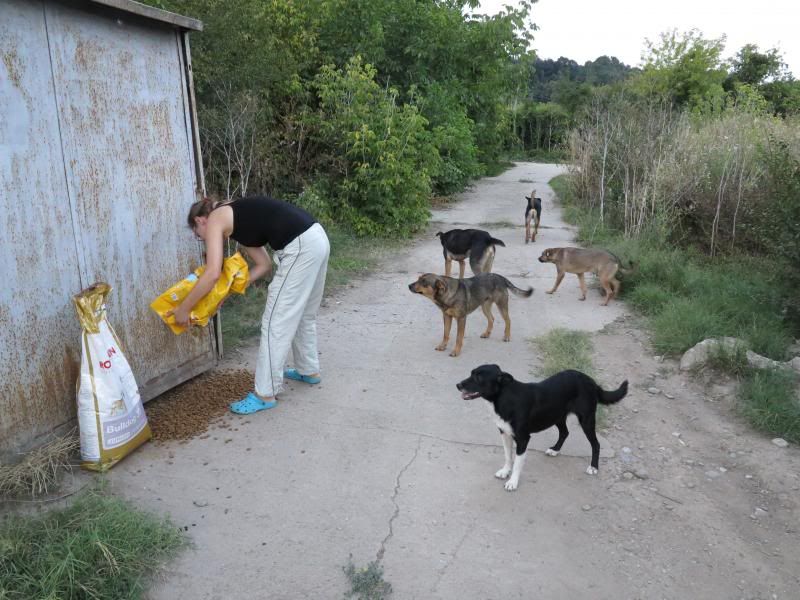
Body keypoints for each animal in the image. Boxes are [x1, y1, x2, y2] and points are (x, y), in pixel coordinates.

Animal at [456, 364, 624, 490]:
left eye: (478, 377)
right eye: (471, 373)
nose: (457, 385)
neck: (504, 397)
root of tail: (591, 381)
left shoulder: (523, 439)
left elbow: (517, 463)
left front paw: (512, 482)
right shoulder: (505, 433)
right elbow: (508, 456)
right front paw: (505, 472)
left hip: (586, 419)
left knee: (595, 444)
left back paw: (593, 467)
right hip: (556, 416)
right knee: (565, 432)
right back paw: (555, 450)